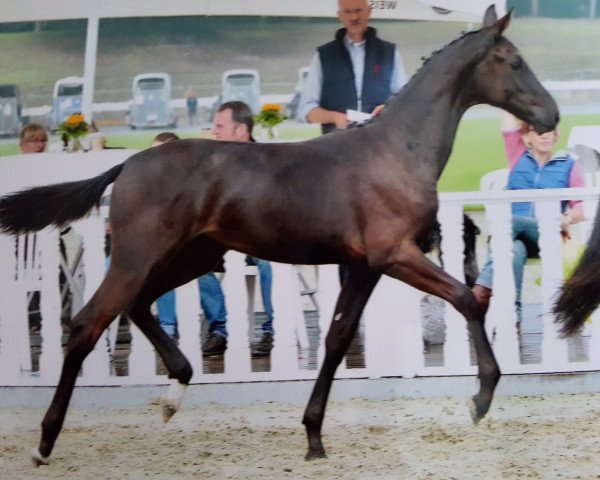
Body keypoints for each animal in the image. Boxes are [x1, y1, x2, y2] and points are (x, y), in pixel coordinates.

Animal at [0, 6, 556, 464]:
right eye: (514, 61)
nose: (549, 115)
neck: (399, 150)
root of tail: (127, 164)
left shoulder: (364, 265)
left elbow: (336, 338)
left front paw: (313, 436)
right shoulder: (394, 254)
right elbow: (467, 298)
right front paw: (481, 398)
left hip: (194, 255)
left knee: (138, 305)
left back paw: (174, 393)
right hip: (139, 256)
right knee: (87, 324)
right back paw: (44, 443)